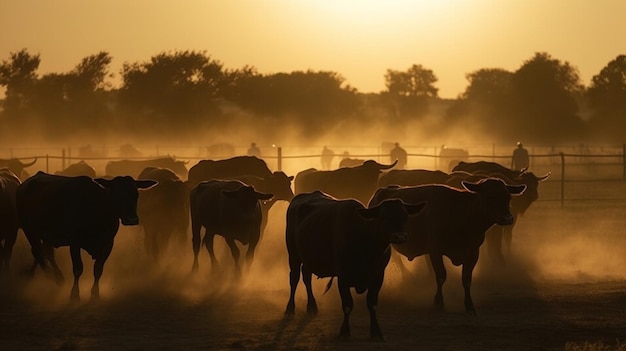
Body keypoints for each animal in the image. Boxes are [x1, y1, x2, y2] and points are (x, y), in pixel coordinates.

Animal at [17, 172, 156, 302]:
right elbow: (78, 268)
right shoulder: (74, 243)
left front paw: (95, 293)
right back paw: (48, 275)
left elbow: (98, 269)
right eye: (116, 194)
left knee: (46, 253)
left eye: (136, 195)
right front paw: (74, 294)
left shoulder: (108, 244)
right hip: (29, 230)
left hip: (47, 235)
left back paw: (56, 276)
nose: (131, 219)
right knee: (38, 252)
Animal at [284, 191, 424, 340]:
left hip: (308, 259)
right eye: (384, 217)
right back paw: (290, 307)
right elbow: (347, 305)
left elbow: (372, 304)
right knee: (294, 278)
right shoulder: (343, 277)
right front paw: (345, 331)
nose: (400, 236)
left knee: (306, 276)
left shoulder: (378, 276)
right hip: (293, 254)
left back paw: (312, 306)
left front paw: (376, 332)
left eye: (405, 216)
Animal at [368, 179, 524, 314]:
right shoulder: (435, 251)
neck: (461, 215)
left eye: (508, 197)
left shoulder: (473, 252)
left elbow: (466, 279)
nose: (507, 218)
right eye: (490, 197)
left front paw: (469, 305)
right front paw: (438, 302)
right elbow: (441, 276)